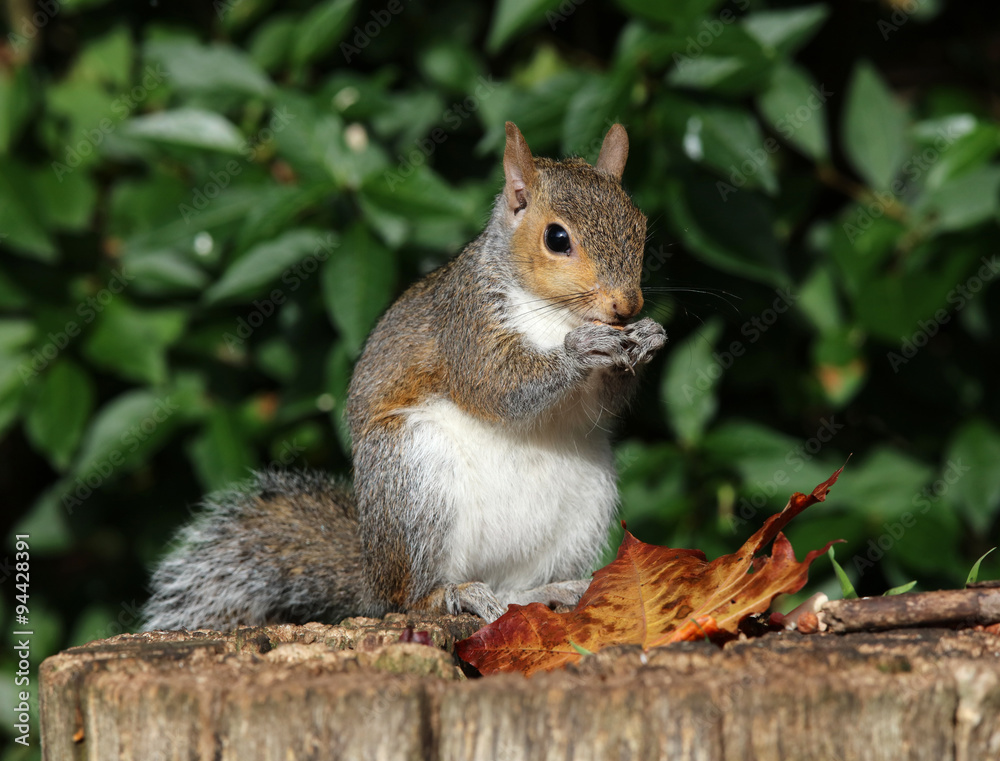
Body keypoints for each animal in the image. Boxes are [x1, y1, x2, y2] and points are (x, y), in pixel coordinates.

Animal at [142, 122, 667, 630]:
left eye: (640, 226)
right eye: (557, 238)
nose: (626, 306)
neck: (555, 314)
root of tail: (372, 580)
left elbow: (604, 403)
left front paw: (648, 337)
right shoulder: (465, 325)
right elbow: (498, 386)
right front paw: (583, 349)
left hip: (585, 501)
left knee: (512, 592)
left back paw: (548, 590)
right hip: (413, 478)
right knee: (410, 600)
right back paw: (453, 595)